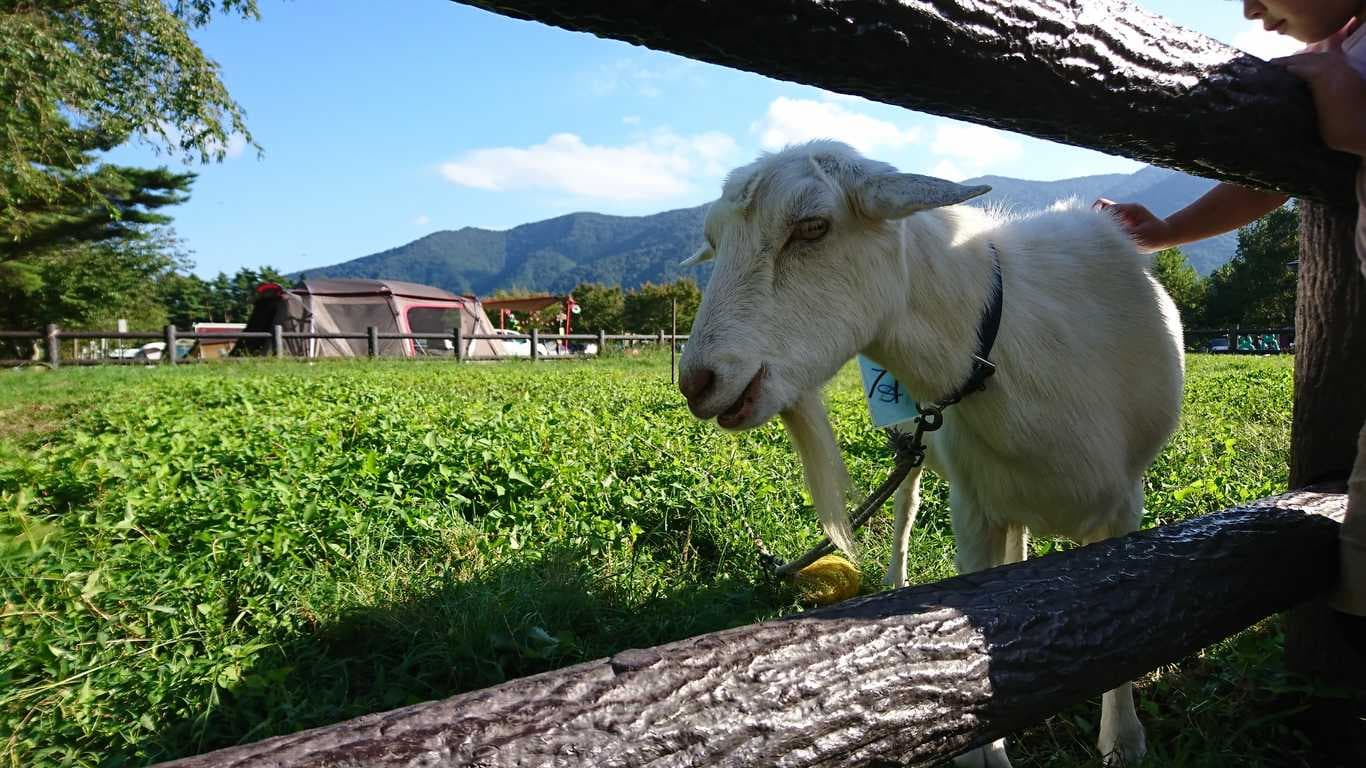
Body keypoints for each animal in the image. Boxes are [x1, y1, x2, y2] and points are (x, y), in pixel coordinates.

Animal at [683, 142, 1185, 765]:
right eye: (715, 238)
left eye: (812, 227)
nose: (696, 382)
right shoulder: (972, 511)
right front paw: (986, 749)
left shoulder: (1126, 504)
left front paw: (1123, 739)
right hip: (914, 447)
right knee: (906, 507)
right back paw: (897, 579)